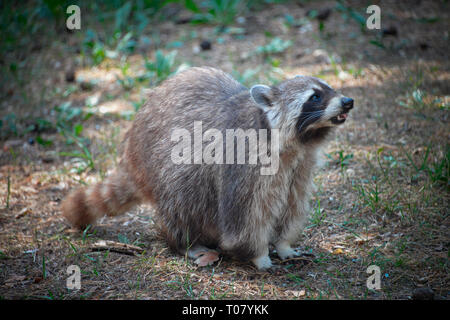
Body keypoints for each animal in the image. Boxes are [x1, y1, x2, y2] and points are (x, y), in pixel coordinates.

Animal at [61, 67, 354, 270]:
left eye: (330, 88)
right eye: (315, 96)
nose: (348, 101)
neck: (297, 142)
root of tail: (132, 155)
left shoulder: (302, 165)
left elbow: (292, 206)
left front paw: (283, 245)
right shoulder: (245, 162)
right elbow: (243, 218)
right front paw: (259, 255)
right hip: (162, 165)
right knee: (183, 199)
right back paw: (185, 243)